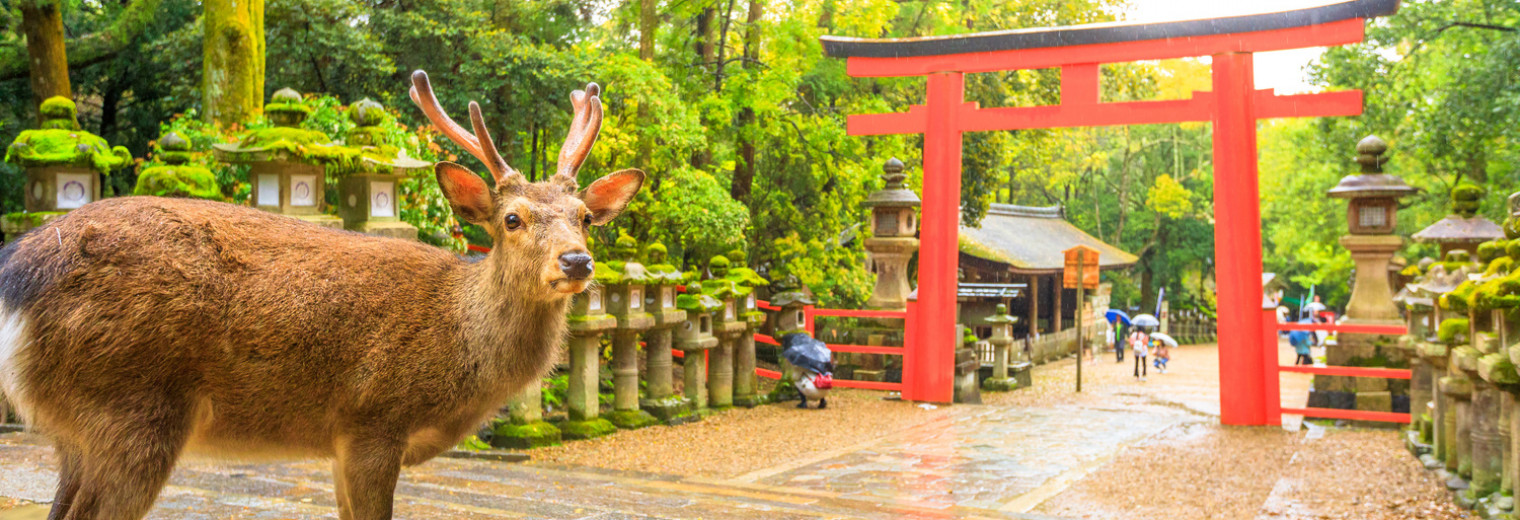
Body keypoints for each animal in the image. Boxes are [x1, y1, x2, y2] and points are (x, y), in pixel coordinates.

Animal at [0, 69, 641, 520]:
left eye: (585, 218)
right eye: (512, 218)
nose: (577, 260)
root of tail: (17, 276)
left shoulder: (338, 444)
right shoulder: (373, 420)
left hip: (78, 431)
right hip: (132, 409)